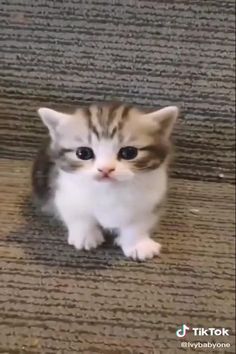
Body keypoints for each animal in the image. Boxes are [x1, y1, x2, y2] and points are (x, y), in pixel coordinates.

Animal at [31, 101, 179, 260]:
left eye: (129, 152)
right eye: (83, 153)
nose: (105, 169)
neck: (109, 190)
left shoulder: (151, 200)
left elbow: (137, 224)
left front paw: (137, 244)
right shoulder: (63, 191)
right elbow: (78, 215)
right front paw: (85, 236)